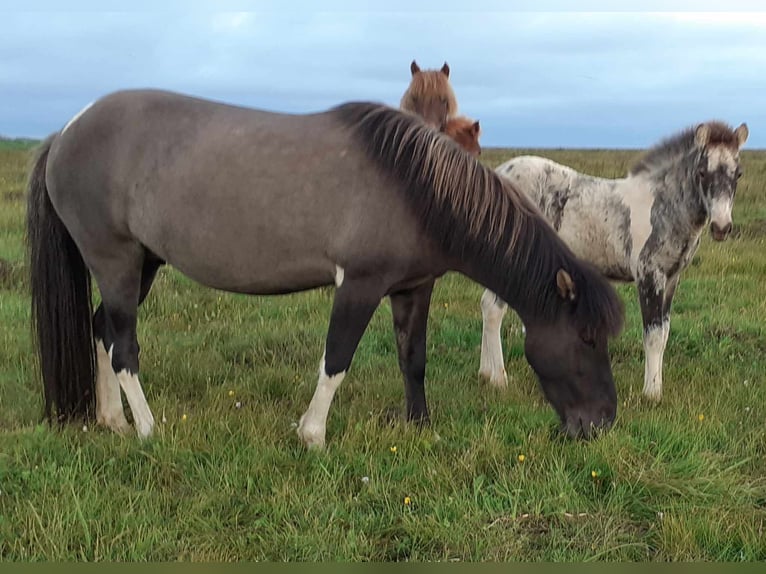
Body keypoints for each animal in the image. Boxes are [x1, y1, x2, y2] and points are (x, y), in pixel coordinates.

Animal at [27, 91, 628, 450]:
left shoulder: (413, 289)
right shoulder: (359, 285)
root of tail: (65, 133)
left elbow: (413, 359)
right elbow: (336, 360)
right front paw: (312, 435)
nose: (601, 424)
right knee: (123, 346)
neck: (414, 187)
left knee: (102, 330)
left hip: (142, 263)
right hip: (116, 261)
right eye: (587, 337)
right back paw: (149, 429)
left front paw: (420, 428)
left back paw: (111, 420)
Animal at [480, 121, 752, 402]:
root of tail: (499, 173)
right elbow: (653, 334)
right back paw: (499, 379)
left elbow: (664, 332)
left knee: (487, 305)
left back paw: (486, 374)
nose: (721, 227)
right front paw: (652, 393)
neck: (663, 205)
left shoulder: (672, 278)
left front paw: (656, 385)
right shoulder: (649, 275)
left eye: (738, 174)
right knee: (494, 309)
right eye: (701, 172)